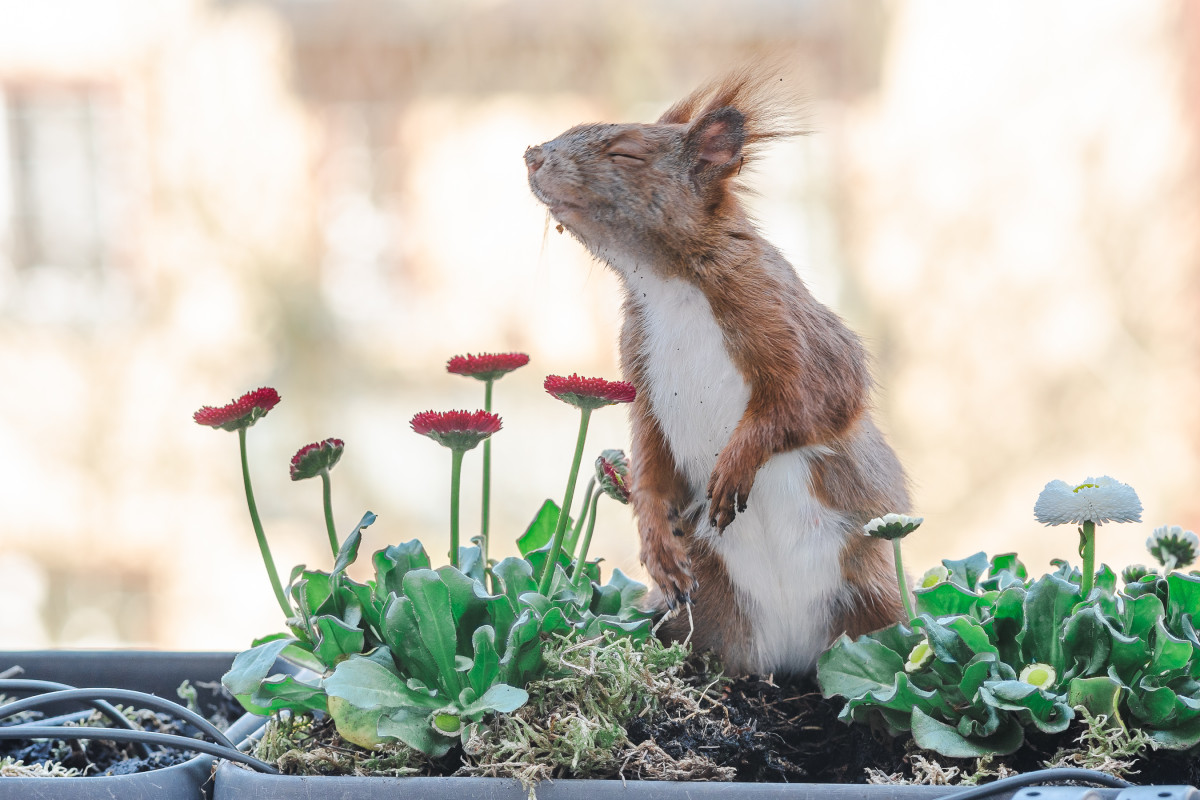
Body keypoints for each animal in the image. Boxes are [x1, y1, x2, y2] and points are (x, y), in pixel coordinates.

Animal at [525, 70, 907, 676]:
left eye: (626, 151)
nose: (532, 155)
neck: (666, 282)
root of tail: (788, 661)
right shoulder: (640, 374)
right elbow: (649, 459)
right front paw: (656, 543)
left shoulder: (790, 326)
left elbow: (811, 403)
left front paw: (734, 465)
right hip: (697, 616)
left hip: (878, 606)